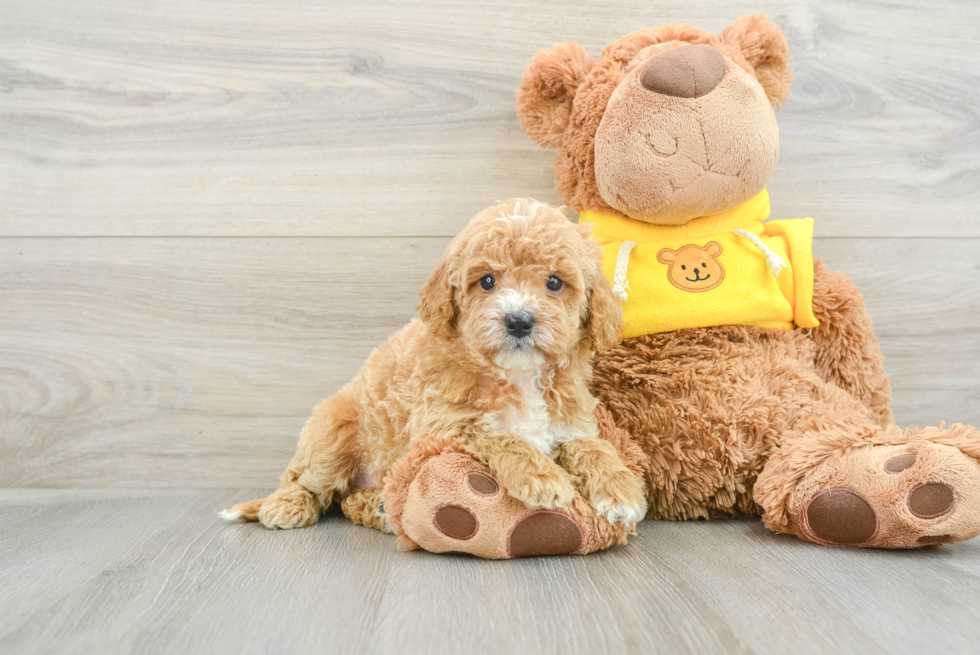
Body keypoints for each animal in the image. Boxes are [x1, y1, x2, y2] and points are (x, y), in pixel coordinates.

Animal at [225, 197, 648, 532]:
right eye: (487, 281)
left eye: (555, 283)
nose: (518, 320)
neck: (518, 375)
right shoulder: (443, 426)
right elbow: (501, 436)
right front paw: (543, 476)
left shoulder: (570, 424)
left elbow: (593, 447)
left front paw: (620, 489)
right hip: (334, 433)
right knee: (307, 482)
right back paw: (286, 505)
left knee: (348, 501)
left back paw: (380, 508)